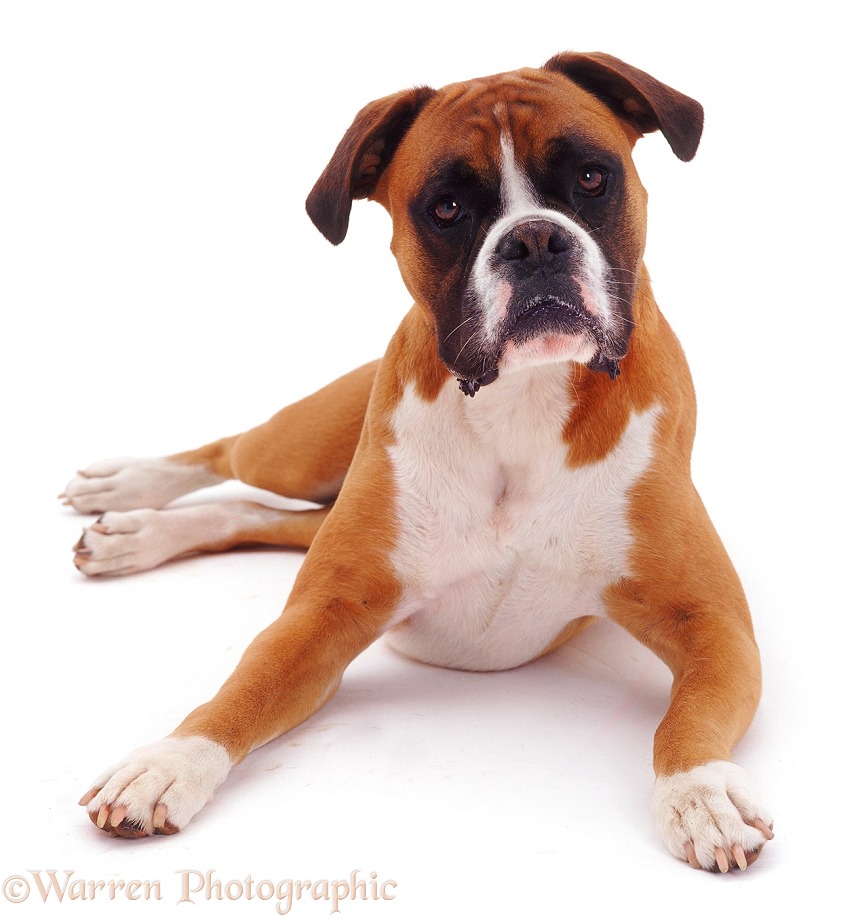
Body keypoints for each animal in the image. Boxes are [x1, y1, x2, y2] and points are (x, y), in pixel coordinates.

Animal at [65, 52, 776, 876]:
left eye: (593, 177)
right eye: (446, 208)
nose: (535, 240)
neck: (522, 398)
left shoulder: (714, 628)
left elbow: (688, 716)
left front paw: (702, 790)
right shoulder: (323, 615)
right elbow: (243, 690)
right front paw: (167, 763)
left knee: (265, 514)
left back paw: (131, 533)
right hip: (298, 451)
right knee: (229, 455)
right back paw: (128, 493)